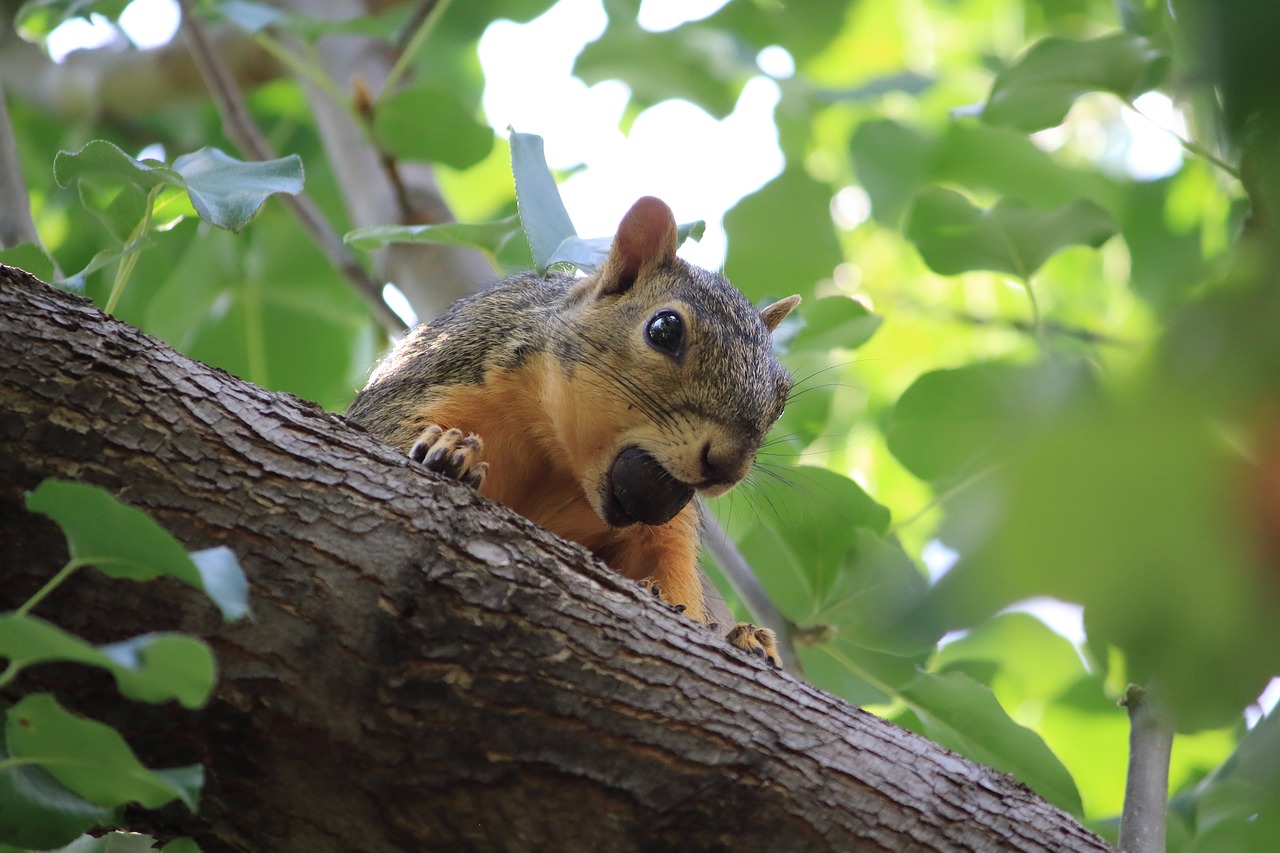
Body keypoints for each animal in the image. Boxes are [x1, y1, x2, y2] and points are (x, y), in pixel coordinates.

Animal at [345, 194, 793, 666]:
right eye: (665, 328)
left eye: (782, 399)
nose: (728, 467)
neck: (556, 455)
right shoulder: (436, 379)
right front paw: (446, 453)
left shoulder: (669, 531)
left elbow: (676, 582)